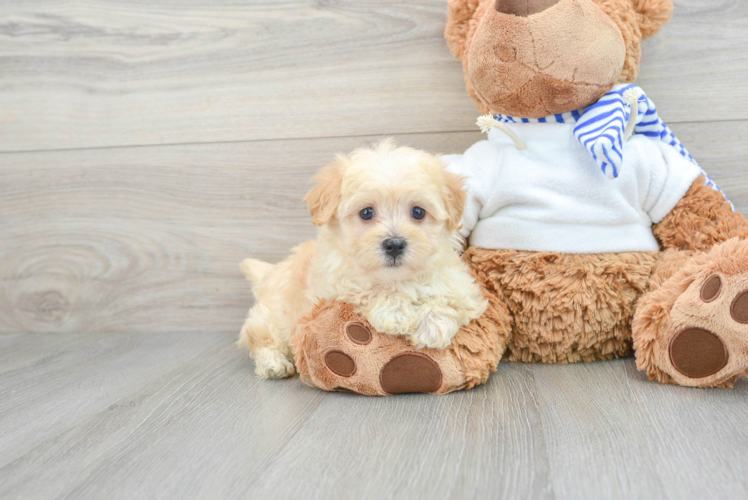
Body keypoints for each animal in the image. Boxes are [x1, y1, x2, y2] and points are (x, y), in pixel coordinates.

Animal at [238, 139, 486, 376]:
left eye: (418, 212)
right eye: (366, 213)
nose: (394, 244)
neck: (398, 278)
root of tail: (268, 273)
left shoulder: (463, 287)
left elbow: (451, 300)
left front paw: (432, 327)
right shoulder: (331, 288)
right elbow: (366, 288)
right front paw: (396, 313)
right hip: (275, 316)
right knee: (261, 337)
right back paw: (274, 363)